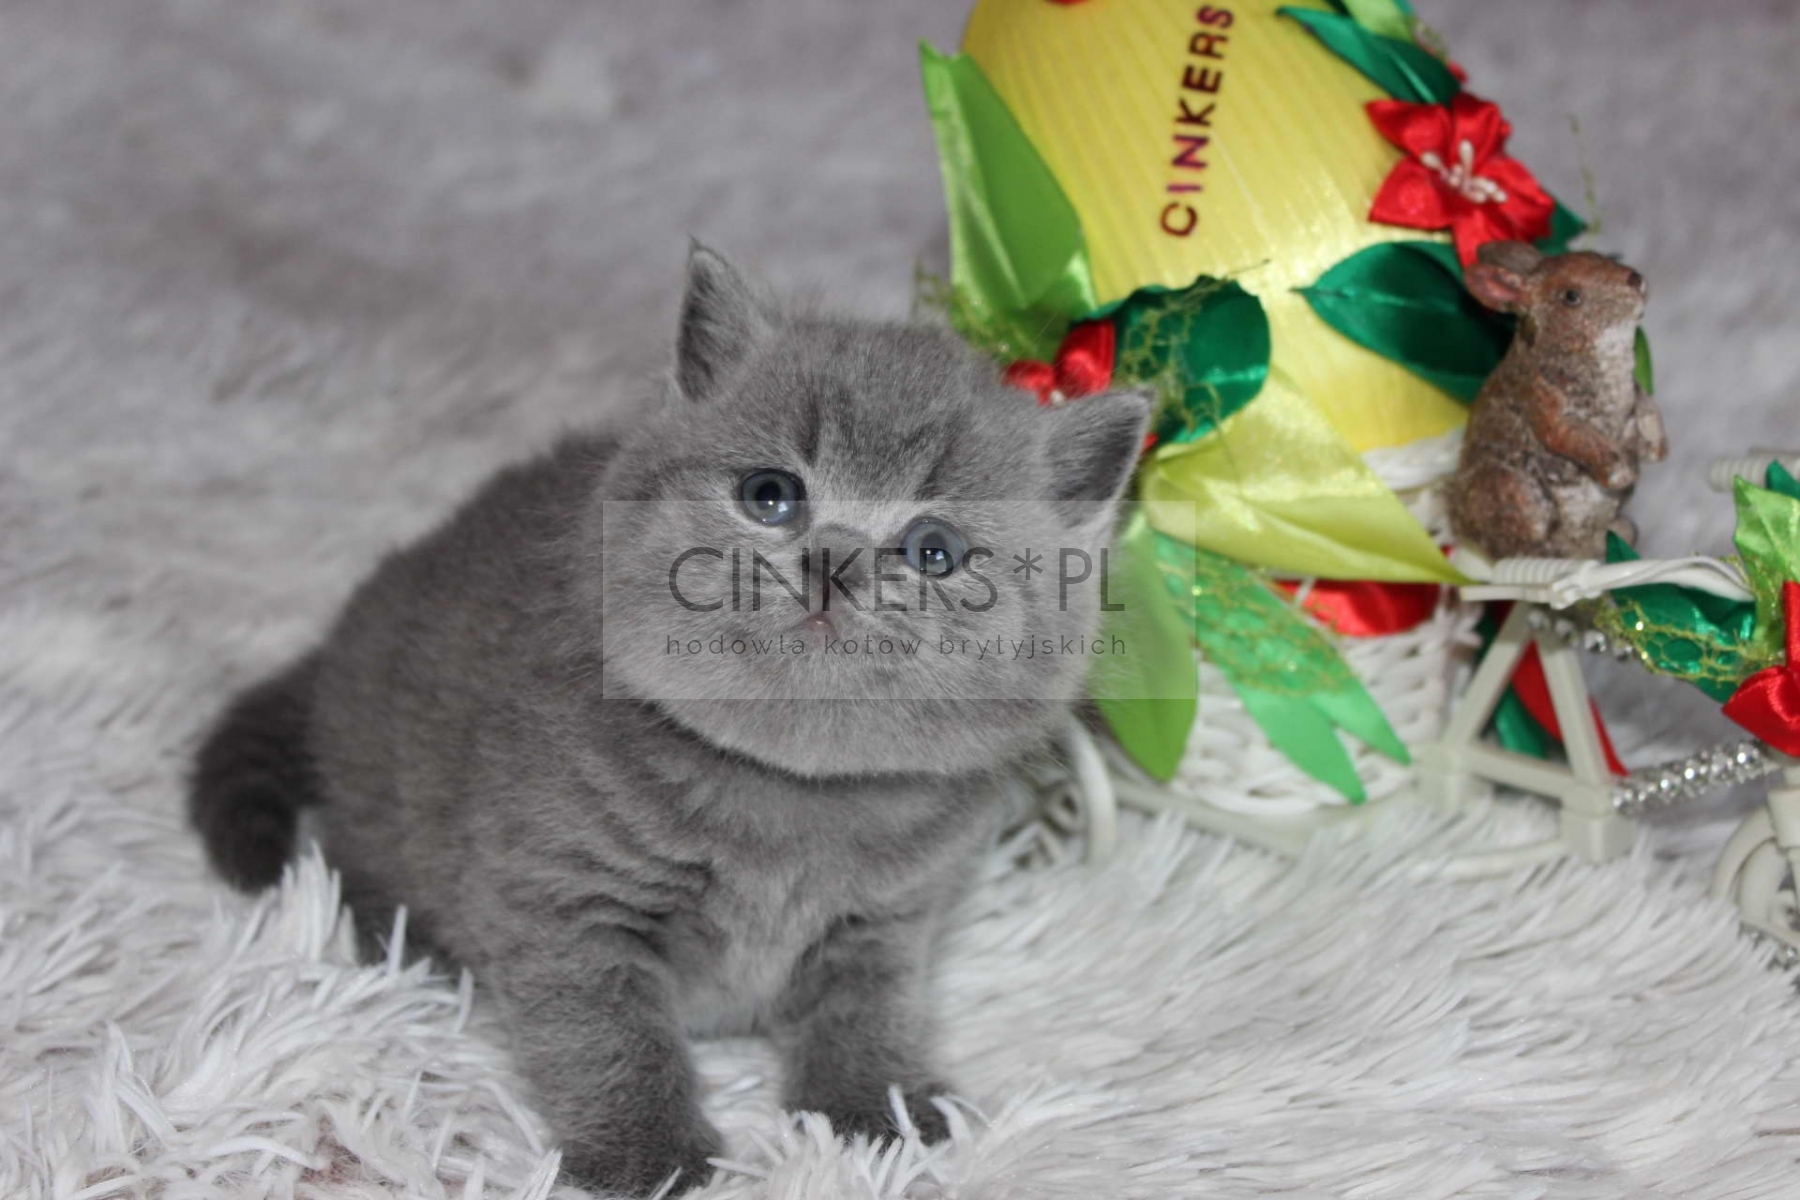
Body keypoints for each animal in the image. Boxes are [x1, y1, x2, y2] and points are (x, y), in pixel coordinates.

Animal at [189, 246, 1150, 1196]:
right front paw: (646, 1158)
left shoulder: (889, 916)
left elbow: (870, 1010)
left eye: (935, 552)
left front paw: (879, 1115)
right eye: (771, 494)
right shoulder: (562, 895)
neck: (793, 802)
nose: (833, 561)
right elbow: (608, 1034)